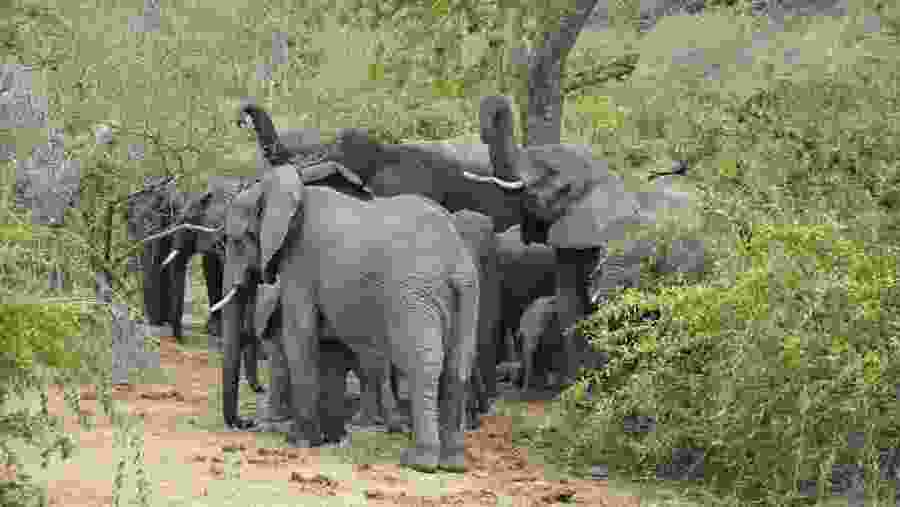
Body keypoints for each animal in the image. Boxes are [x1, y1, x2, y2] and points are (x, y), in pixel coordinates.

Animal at [214, 156, 480, 472]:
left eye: (236, 240)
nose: (245, 423)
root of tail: (453, 260)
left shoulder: (301, 263)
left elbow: (300, 334)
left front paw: (300, 441)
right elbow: (327, 346)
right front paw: (327, 438)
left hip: (414, 295)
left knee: (421, 363)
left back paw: (418, 461)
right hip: (467, 292)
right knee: (457, 365)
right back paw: (453, 464)